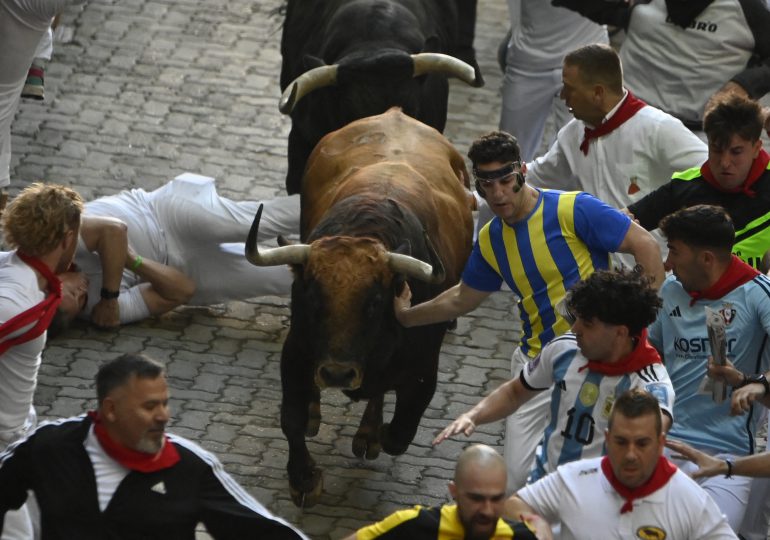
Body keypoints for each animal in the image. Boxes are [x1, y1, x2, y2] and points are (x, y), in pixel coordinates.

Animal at [249, 108, 472, 506]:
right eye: (311, 297)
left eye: (374, 302)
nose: (337, 373)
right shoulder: (297, 351)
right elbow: (290, 418)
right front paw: (303, 478)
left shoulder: (423, 372)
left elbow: (399, 433)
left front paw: (374, 434)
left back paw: (368, 432)